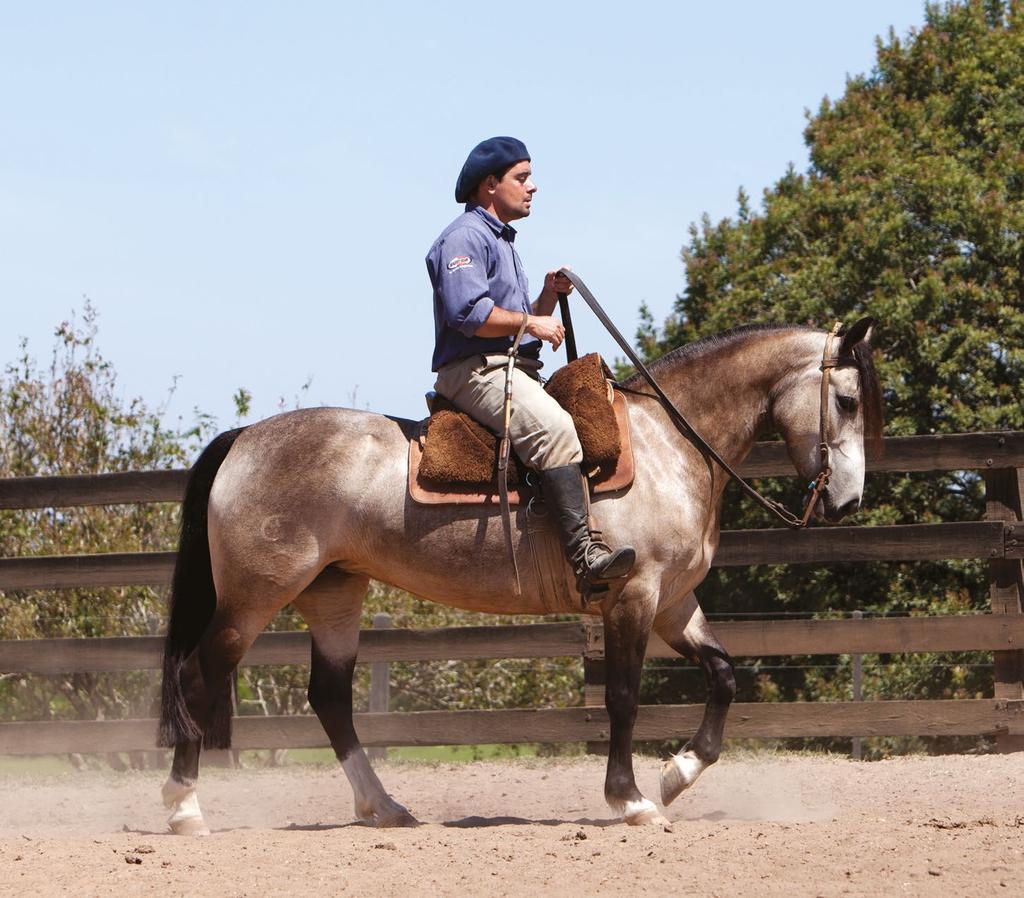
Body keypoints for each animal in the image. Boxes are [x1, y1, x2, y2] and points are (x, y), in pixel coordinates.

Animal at [157, 317, 880, 835]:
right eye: (846, 400)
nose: (848, 503)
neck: (669, 444)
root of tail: (245, 438)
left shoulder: (674, 602)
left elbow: (725, 677)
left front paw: (677, 773)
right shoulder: (632, 598)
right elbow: (623, 698)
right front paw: (631, 800)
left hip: (333, 594)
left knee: (330, 698)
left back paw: (384, 807)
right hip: (254, 598)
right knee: (197, 676)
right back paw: (184, 807)